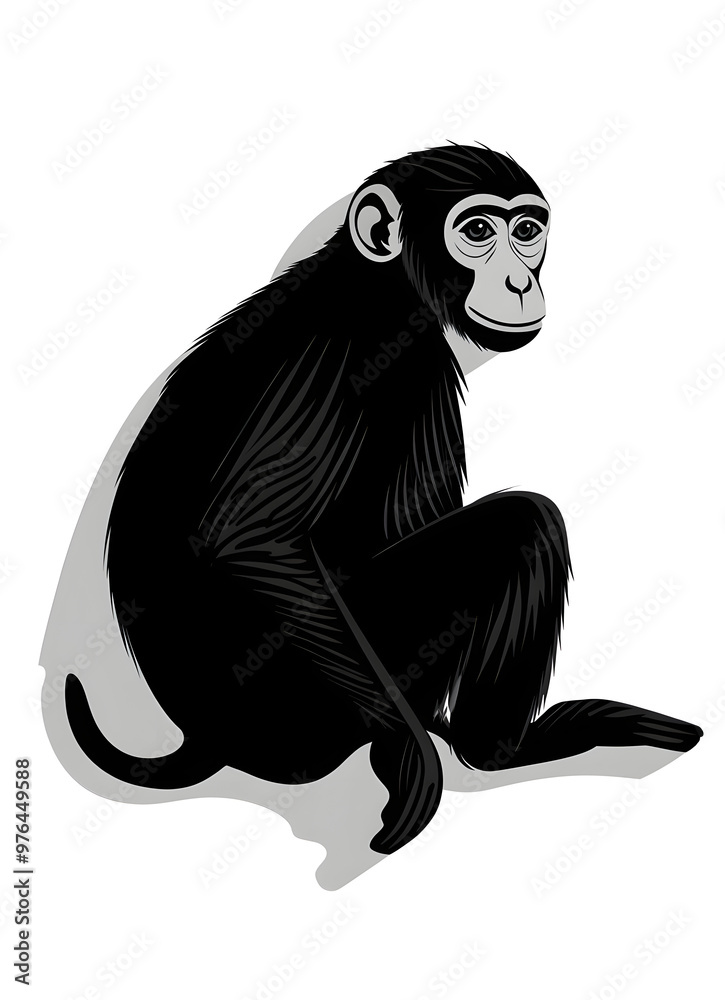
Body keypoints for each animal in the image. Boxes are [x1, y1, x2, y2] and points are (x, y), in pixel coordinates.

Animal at [65, 144, 702, 856]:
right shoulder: (333, 354)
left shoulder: (419, 358)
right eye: (477, 230)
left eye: (527, 231)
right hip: (297, 712)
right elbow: (255, 540)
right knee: (521, 523)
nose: (520, 282)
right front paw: (407, 752)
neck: (380, 283)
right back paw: (480, 748)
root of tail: (204, 740)